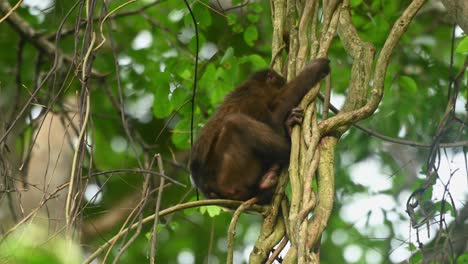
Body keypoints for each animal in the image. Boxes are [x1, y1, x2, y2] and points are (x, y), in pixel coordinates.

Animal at [189, 58, 330, 204]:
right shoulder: (254, 98)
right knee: (236, 122)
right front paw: (315, 68)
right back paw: (288, 147)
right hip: (229, 176)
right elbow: (273, 122)